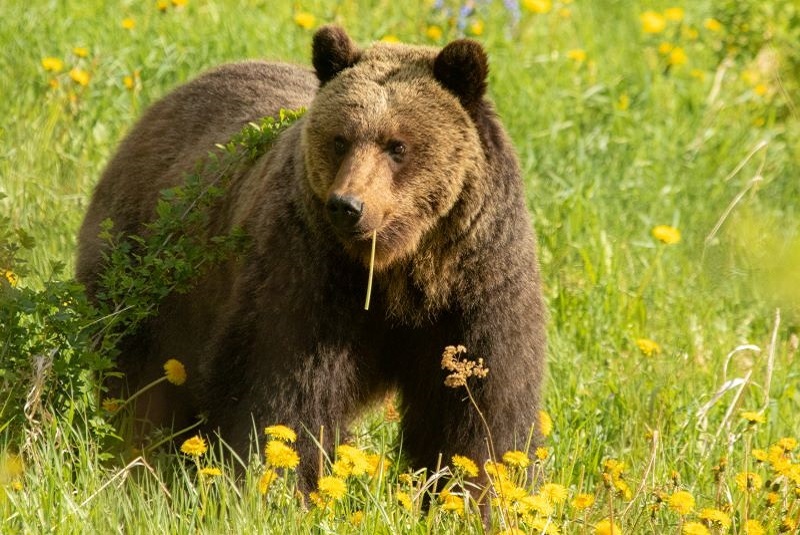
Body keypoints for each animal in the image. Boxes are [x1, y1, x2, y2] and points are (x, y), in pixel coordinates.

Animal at [76, 25, 546, 489]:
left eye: (398, 145)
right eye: (340, 139)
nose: (347, 206)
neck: (400, 270)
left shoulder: (476, 287)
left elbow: (478, 407)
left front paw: (474, 491)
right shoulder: (310, 275)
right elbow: (282, 390)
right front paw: (277, 482)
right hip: (149, 270)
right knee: (137, 371)